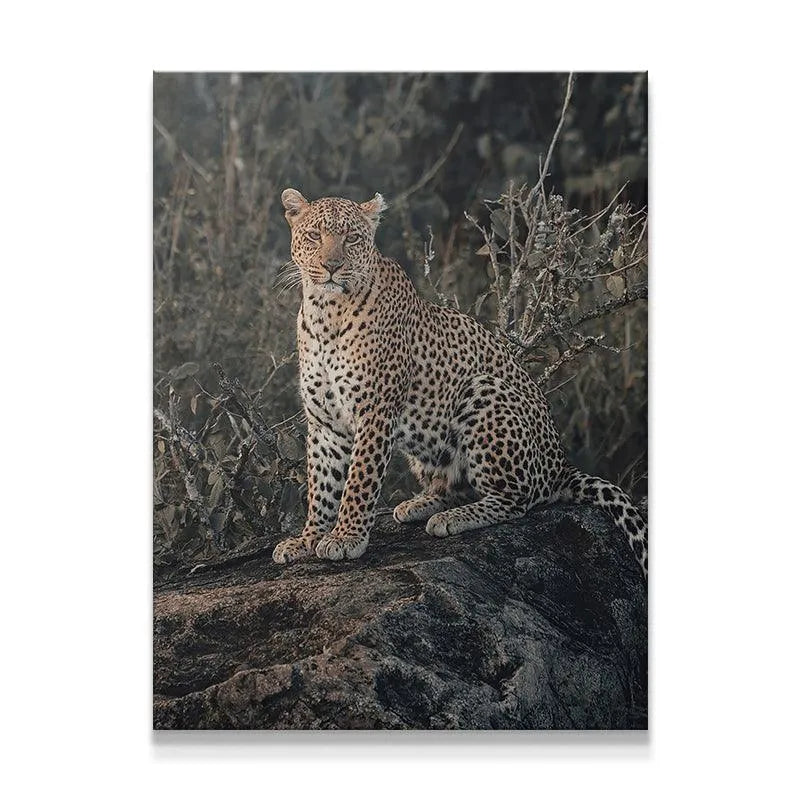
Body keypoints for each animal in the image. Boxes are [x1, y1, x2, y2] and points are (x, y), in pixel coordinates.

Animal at [271, 189, 648, 578]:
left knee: (518, 498)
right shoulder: (325, 422)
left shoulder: (375, 412)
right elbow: (321, 484)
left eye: (352, 239)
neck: (325, 313)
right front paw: (308, 538)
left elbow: (360, 478)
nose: (332, 266)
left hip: (483, 391)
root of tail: (561, 465)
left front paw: (346, 537)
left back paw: (451, 519)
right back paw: (420, 505)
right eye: (314, 236)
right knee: (458, 485)